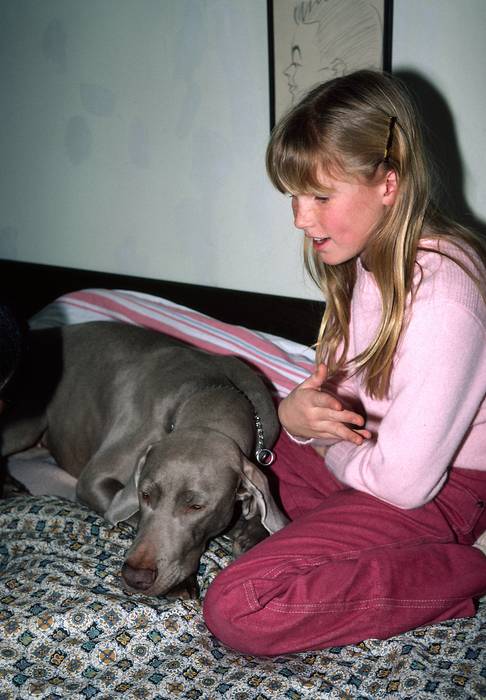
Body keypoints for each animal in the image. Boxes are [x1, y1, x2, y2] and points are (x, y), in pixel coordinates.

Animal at [0, 322, 288, 596]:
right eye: (144, 495)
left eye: (196, 507)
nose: (135, 578)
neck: (210, 391)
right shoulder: (93, 481)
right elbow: (132, 514)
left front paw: (251, 532)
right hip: (29, 421)